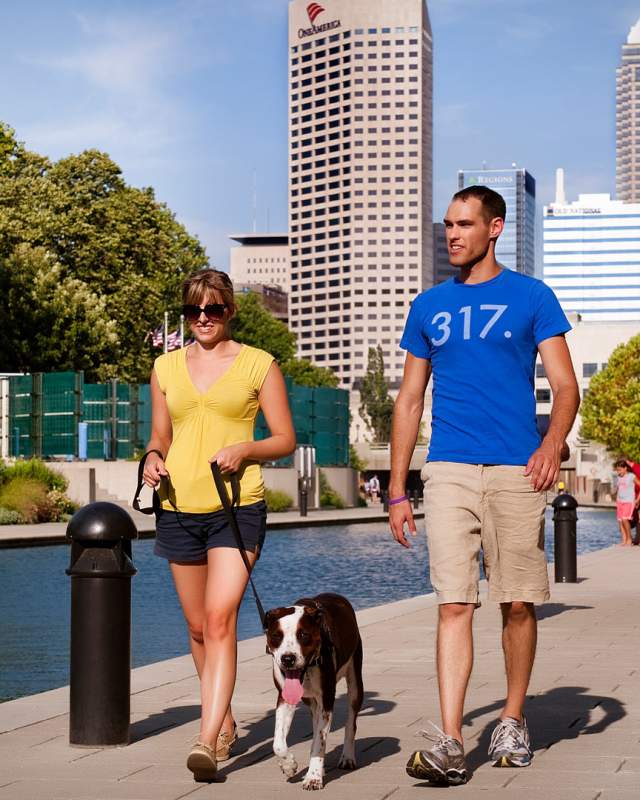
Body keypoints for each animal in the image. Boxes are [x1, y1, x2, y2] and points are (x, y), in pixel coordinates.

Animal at [264, 592, 364, 792]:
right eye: (276, 636)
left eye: (303, 635)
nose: (288, 658)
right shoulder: (284, 698)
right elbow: (278, 743)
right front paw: (288, 765)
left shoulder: (327, 698)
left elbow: (320, 740)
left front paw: (313, 778)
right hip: (311, 701)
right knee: (316, 721)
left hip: (355, 679)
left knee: (350, 722)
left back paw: (347, 757)